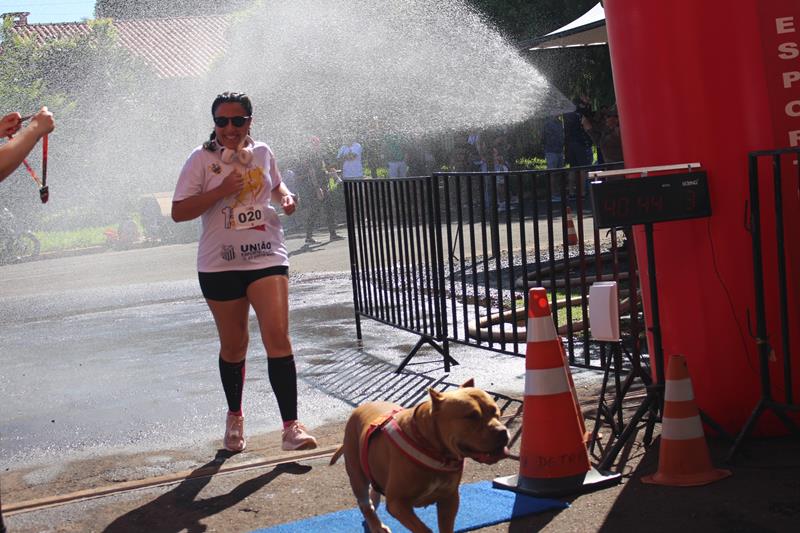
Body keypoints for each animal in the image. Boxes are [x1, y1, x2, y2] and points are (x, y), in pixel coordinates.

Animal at [330, 378, 506, 532]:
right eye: (471, 416)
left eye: (496, 411)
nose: (503, 431)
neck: (432, 448)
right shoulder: (398, 504)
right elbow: (424, 529)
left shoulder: (449, 499)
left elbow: (446, 527)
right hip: (357, 476)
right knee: (364, 504)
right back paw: (376, 525)